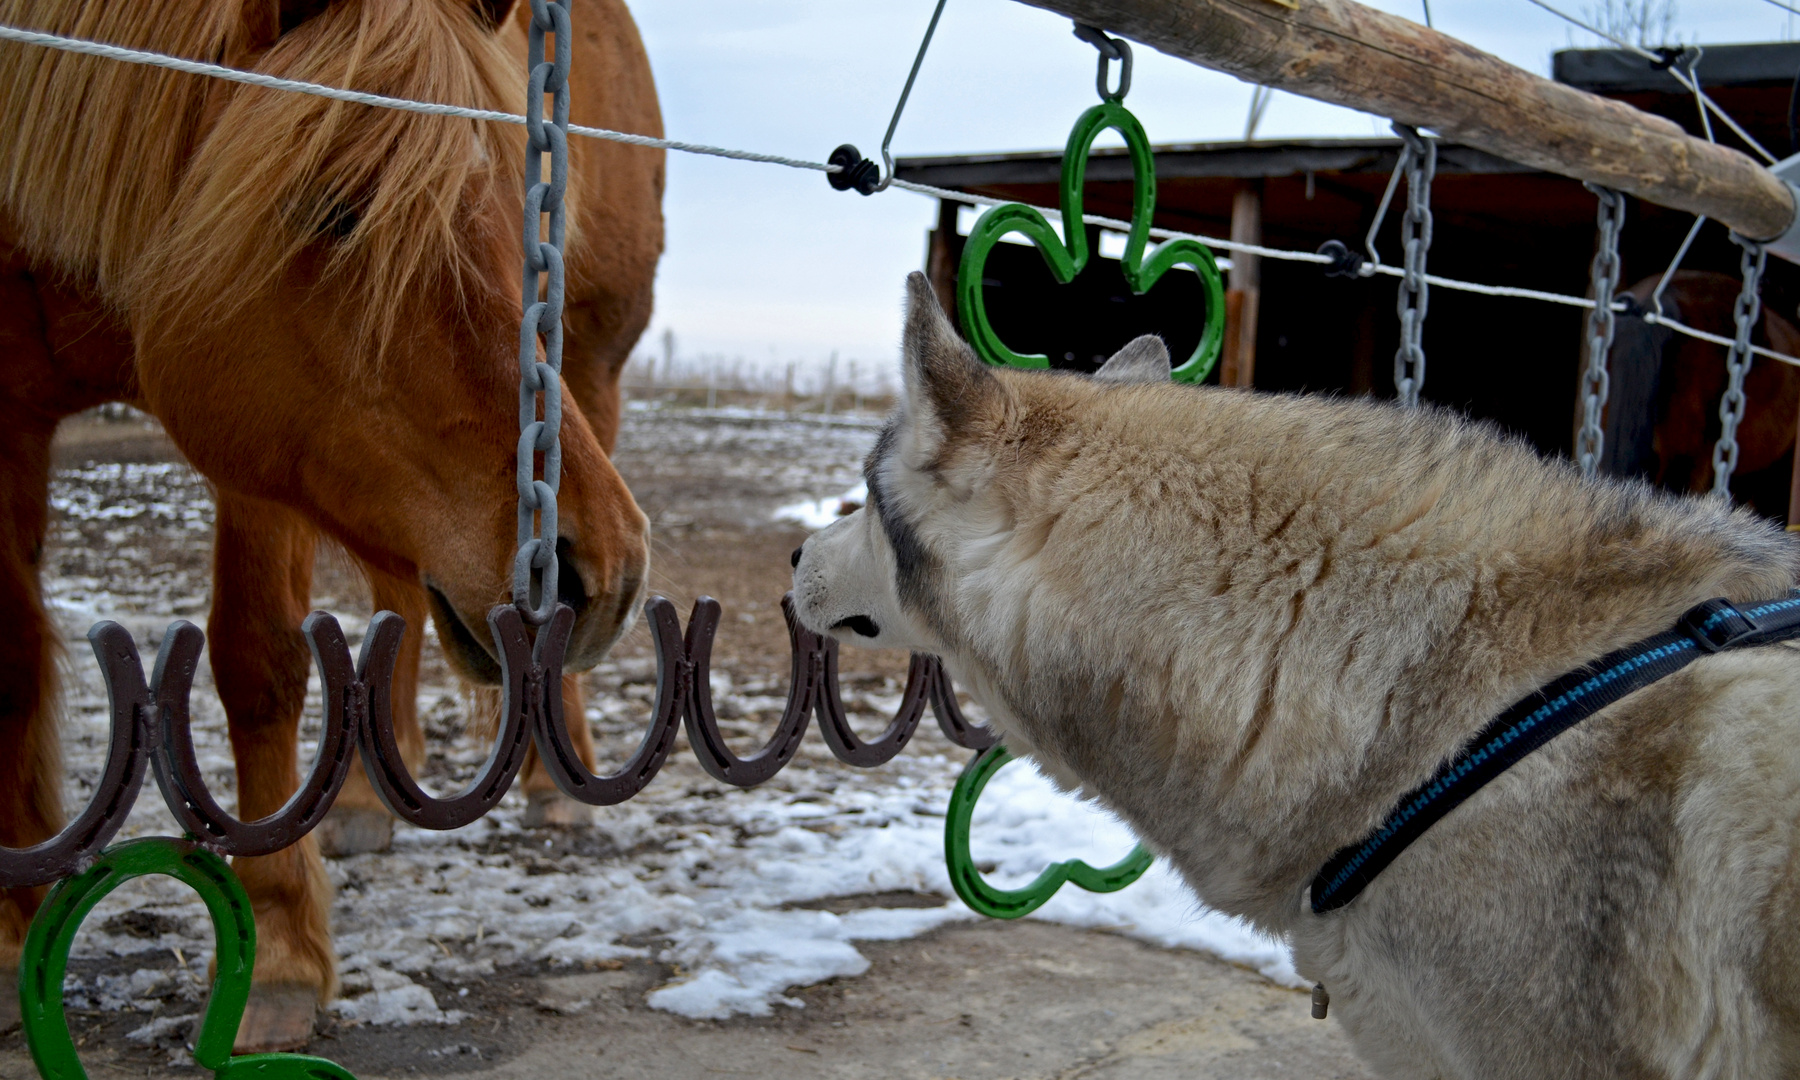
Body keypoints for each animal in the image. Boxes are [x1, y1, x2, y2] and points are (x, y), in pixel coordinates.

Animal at [0, 0, 662, 1051]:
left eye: (520, 201)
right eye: (334, 207)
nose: (600, 570)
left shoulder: (258, 443)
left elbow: (258, 658)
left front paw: (274, 954)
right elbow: (14, 668)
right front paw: (12, 938)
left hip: (590, 367)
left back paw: (559, 785)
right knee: (401, 599)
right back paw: (359, 798)